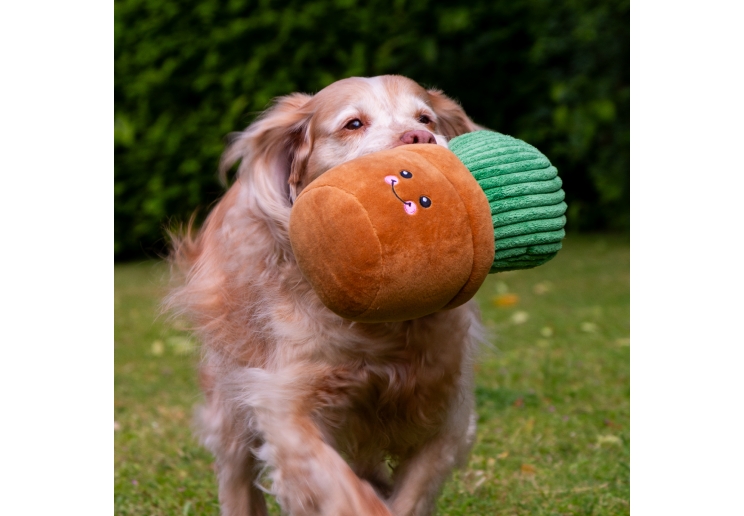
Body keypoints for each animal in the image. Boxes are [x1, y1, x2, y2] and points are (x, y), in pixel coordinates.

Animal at [166, 74, 486, 512]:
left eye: (425, 118)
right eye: (353, 124)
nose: (420, 136)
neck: (382, 329)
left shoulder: (446, 409)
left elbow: (410, 493)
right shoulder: (285, 403)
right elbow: (343, 489)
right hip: (230, 395)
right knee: (237, 475)